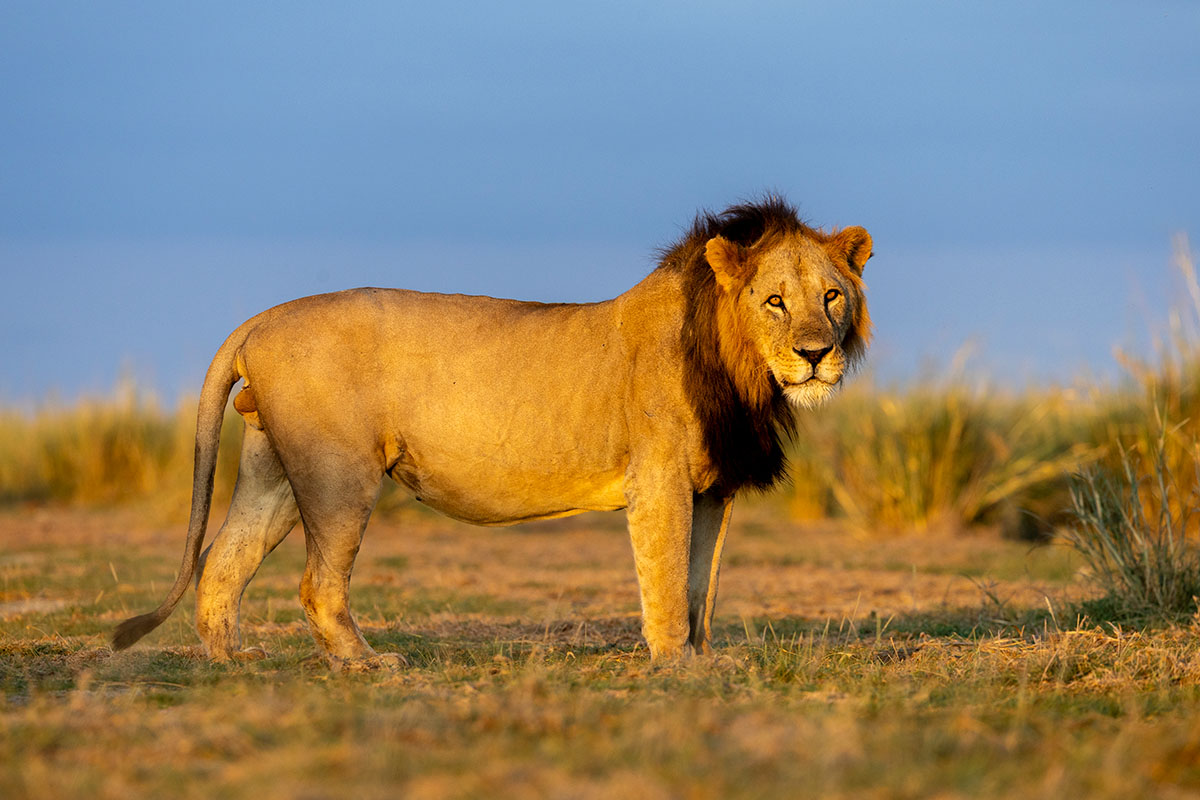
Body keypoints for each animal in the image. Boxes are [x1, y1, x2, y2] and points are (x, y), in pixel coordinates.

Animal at [112, 196, 872, 666]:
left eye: (831, 296)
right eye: (775, 301)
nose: (815, 354)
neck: (740, 370)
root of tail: (263, 317)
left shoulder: (713, 489)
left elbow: (698, 584)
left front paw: (705, 658)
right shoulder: (658, 480)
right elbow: (663, 576)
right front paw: (672, 663)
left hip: (273, 466)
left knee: (224, 558)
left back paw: (230, 658)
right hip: (338, 472)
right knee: (317, 582)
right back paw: (366, 664)